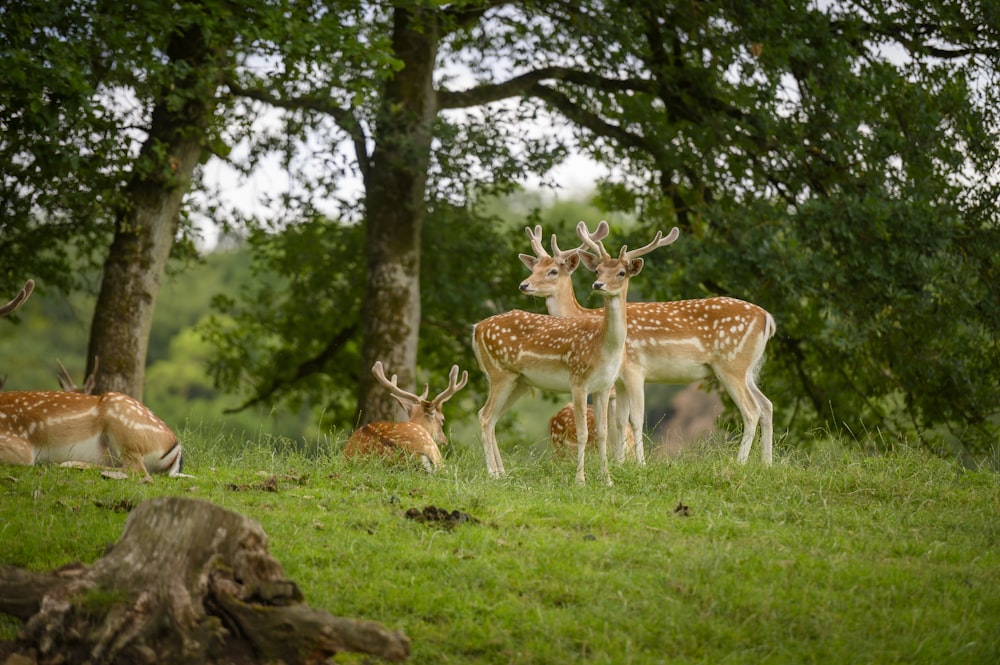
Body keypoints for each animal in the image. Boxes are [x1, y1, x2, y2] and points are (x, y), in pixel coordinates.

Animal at [474, 222, 680, 482]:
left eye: (552, 271)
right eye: (597, 271)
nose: (524, 285)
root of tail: (477, 328)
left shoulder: (609, 384)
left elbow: (609, 428)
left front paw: (610, 475)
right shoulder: (584, 382)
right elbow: (593, 430)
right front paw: (587, 477)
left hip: (518, 380)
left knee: (491, 418)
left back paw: (500, 473)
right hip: (503, 375)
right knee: (485, 416)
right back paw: (494, 474)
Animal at [520, 222, 776, 462]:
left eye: (553, 271)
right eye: (597, 271)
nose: (524, 285)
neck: (585, 317)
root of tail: (768, 318)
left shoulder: (633, 369)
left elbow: (633, 419)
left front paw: (638, 464)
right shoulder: (618, 379)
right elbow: (620, 420)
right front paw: (620, 463)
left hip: (731, 365)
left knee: (751, 410)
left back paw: (740, 463)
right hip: (748, 369)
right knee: (766, 405)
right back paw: (766, 463)